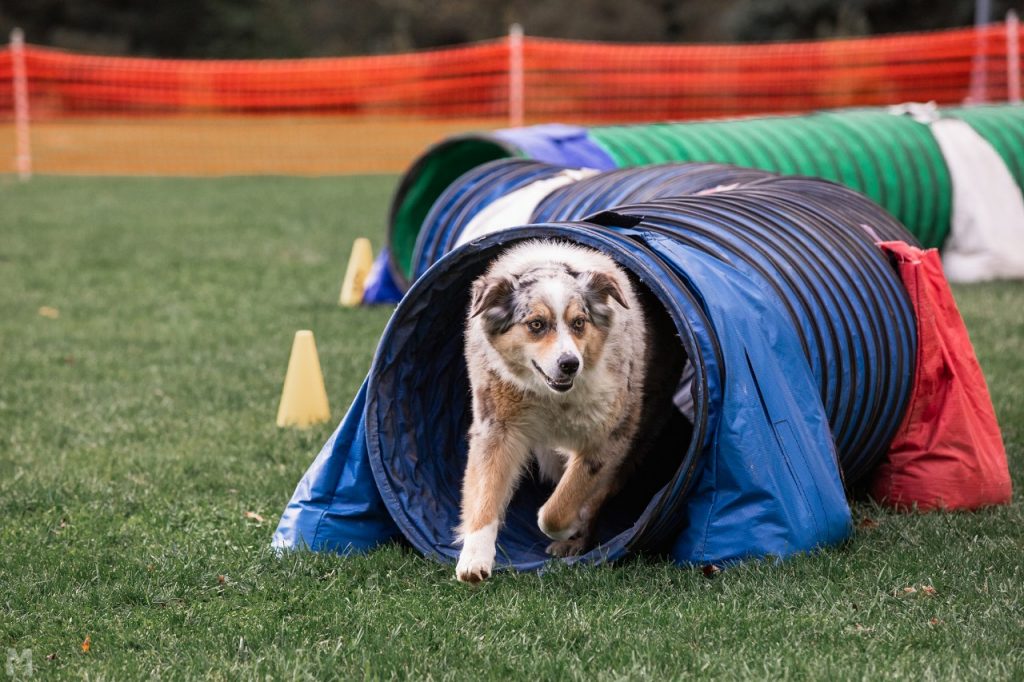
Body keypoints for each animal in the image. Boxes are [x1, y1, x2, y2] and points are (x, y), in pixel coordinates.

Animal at [456, 237, 671, 577]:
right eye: (536, 324)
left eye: (579, 323)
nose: (570, 364)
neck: (550, 396)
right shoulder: (497, 425)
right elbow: (485, 491)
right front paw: (474, 559)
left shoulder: (609, 434)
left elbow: (560, 506)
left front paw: (570, 527)